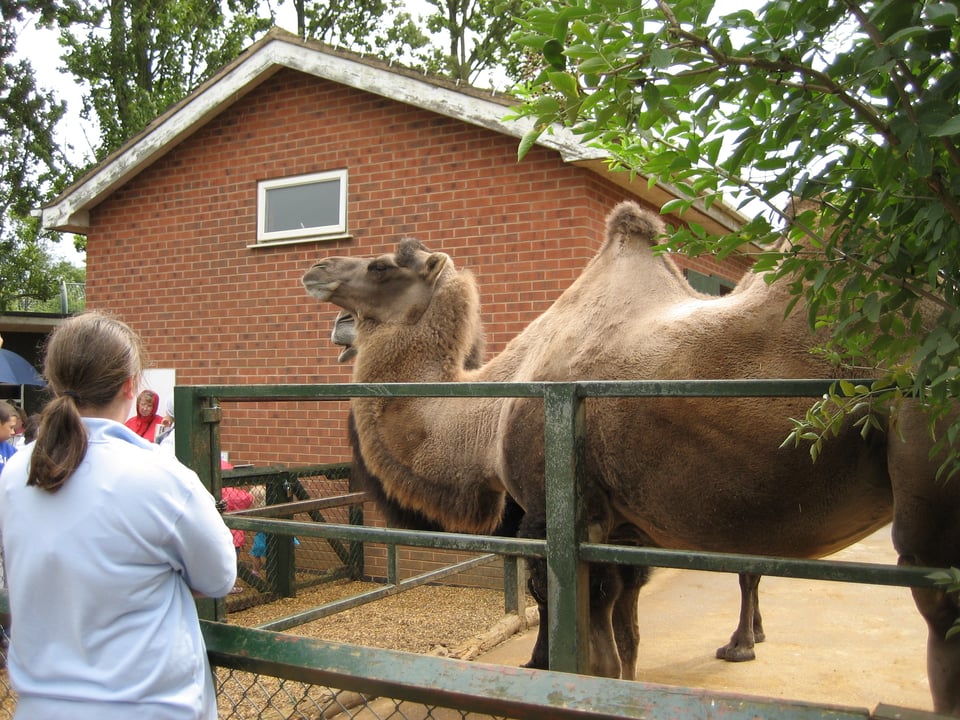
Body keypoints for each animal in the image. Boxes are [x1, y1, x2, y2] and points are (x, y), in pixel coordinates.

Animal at [302, 201, 960, 714]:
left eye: (383, 265)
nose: (316, 269)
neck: (488, 418)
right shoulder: (621, 527)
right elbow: (627, 646)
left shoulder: (563, 517)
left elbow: (587, 655)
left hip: (927, 434)